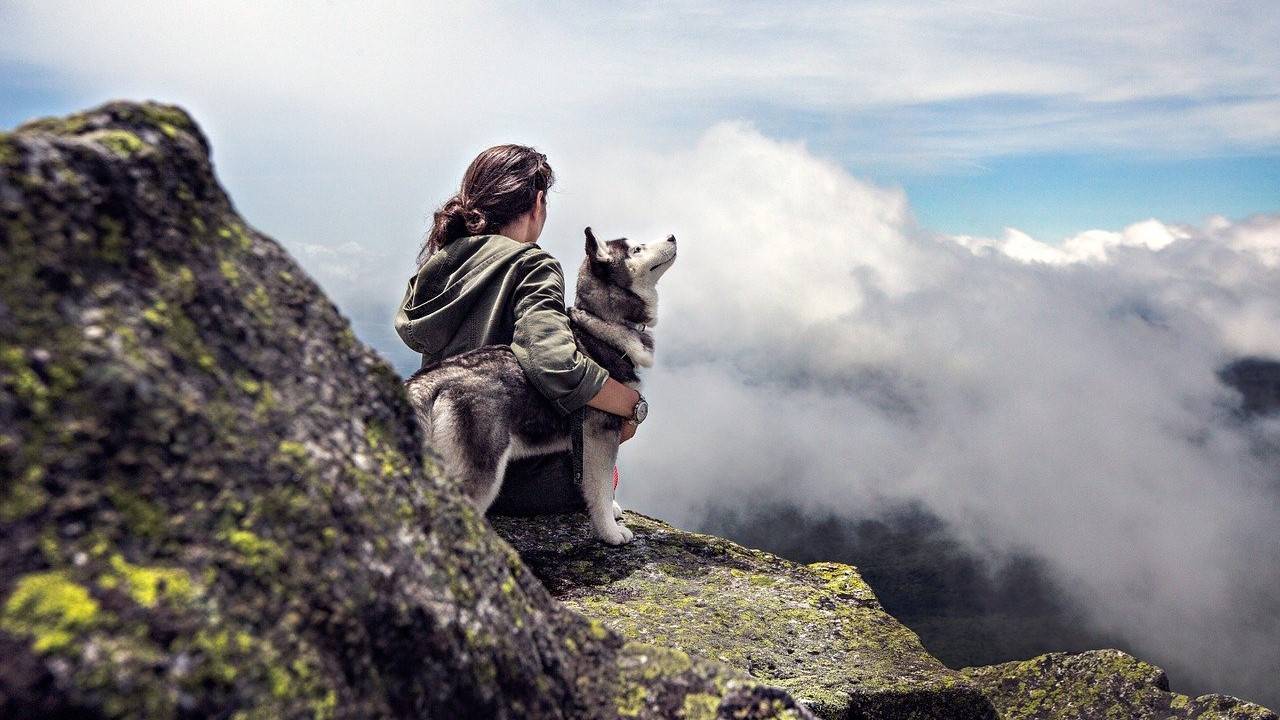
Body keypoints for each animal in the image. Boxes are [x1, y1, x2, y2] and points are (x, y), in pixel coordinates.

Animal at [404, 226, 675, 540]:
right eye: (636, 249)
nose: (672, 237)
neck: (602, 324)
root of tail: (430, 379)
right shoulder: (601, 433)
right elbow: (601, 487)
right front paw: (610, 532)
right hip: (482, 471)